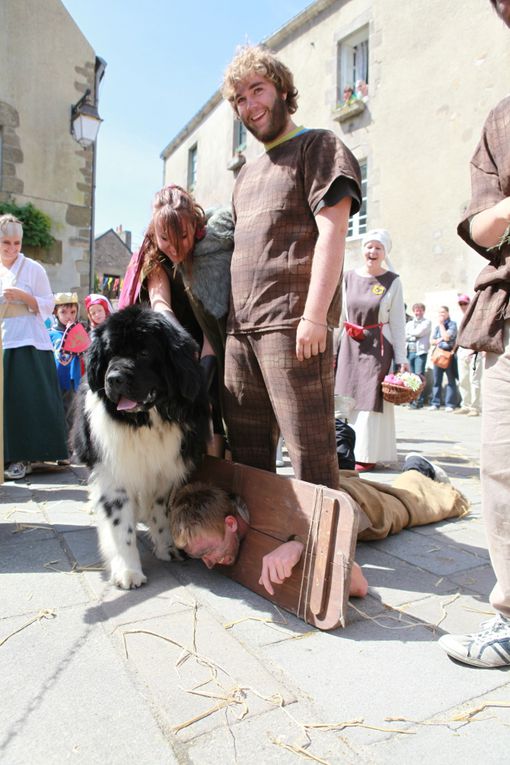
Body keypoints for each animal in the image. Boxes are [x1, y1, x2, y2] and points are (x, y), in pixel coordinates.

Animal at [70, 306, 210, 592]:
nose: (113, 379)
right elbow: (120, 525)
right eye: (110, 354)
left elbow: (160, 511)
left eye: (144, 353)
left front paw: (167, 547)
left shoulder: (165, 470)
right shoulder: (113, 473)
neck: (146, 422)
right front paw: (128, 570)